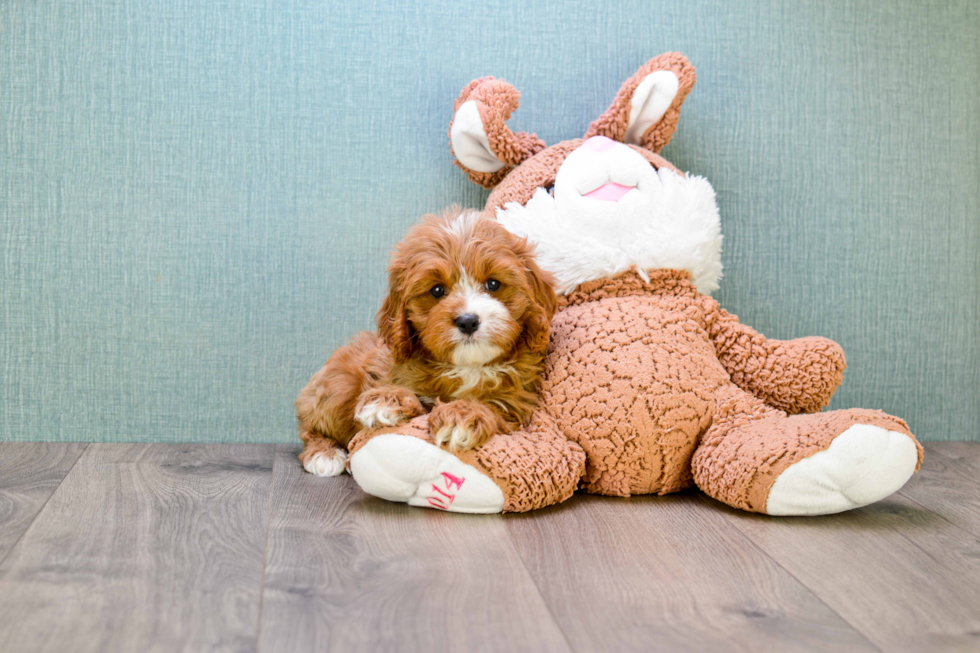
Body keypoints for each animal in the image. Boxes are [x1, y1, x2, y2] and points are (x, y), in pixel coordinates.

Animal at [296, 206, 560, 476]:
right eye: (437, 290)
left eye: (493, 284)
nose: (467, 321)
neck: (467, 367)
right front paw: (386, 400)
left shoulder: (518, 402)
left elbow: (494, 406)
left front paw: (461, 416)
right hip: (337, 385)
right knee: (311, 428)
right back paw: (324, 454)